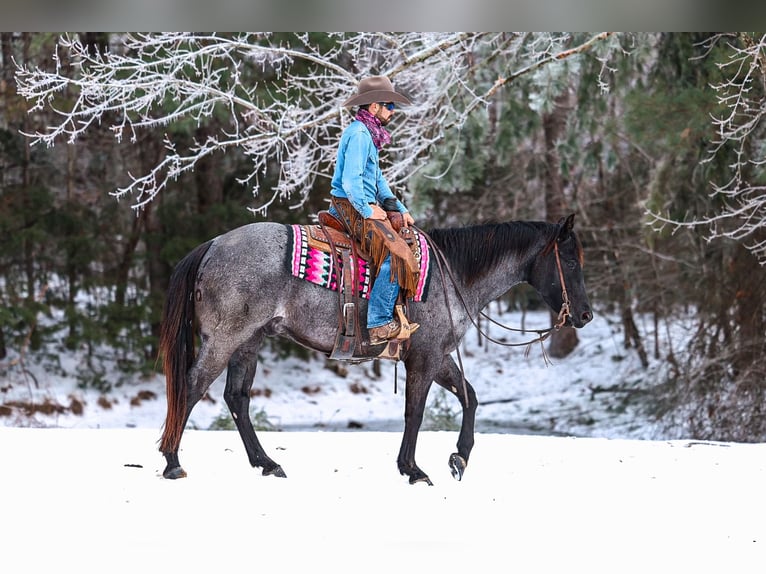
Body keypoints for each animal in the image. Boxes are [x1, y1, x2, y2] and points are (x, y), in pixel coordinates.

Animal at [158, 213, 593, 485]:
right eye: (570, 261)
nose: (585, 314)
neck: (453, 274)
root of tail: (213, 245)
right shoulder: (425, 357)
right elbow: (415, 412)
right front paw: (412, 469)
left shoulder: (438, 356)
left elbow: (469, 397)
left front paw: (460, 458)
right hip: (226, 338)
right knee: (191, 387)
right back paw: (173, 462)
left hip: (249, 341)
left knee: (237, 398)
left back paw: (267, 464)